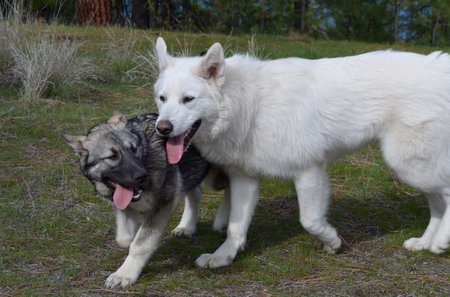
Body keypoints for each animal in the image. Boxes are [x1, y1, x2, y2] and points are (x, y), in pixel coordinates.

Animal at [153, 36, 448, 266]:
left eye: (188, 99)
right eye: (162, 99)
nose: (162, 128)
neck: (249, 105)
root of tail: (440, 65)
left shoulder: (309, 172)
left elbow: (310, 220)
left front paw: (332, 242)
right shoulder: (245, 179)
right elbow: (235, 228)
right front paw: (222, 257)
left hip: (408, 165)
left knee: (446, 194)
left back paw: (439, 242)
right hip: (417, 171)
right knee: (438, 205)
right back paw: (425, 243)